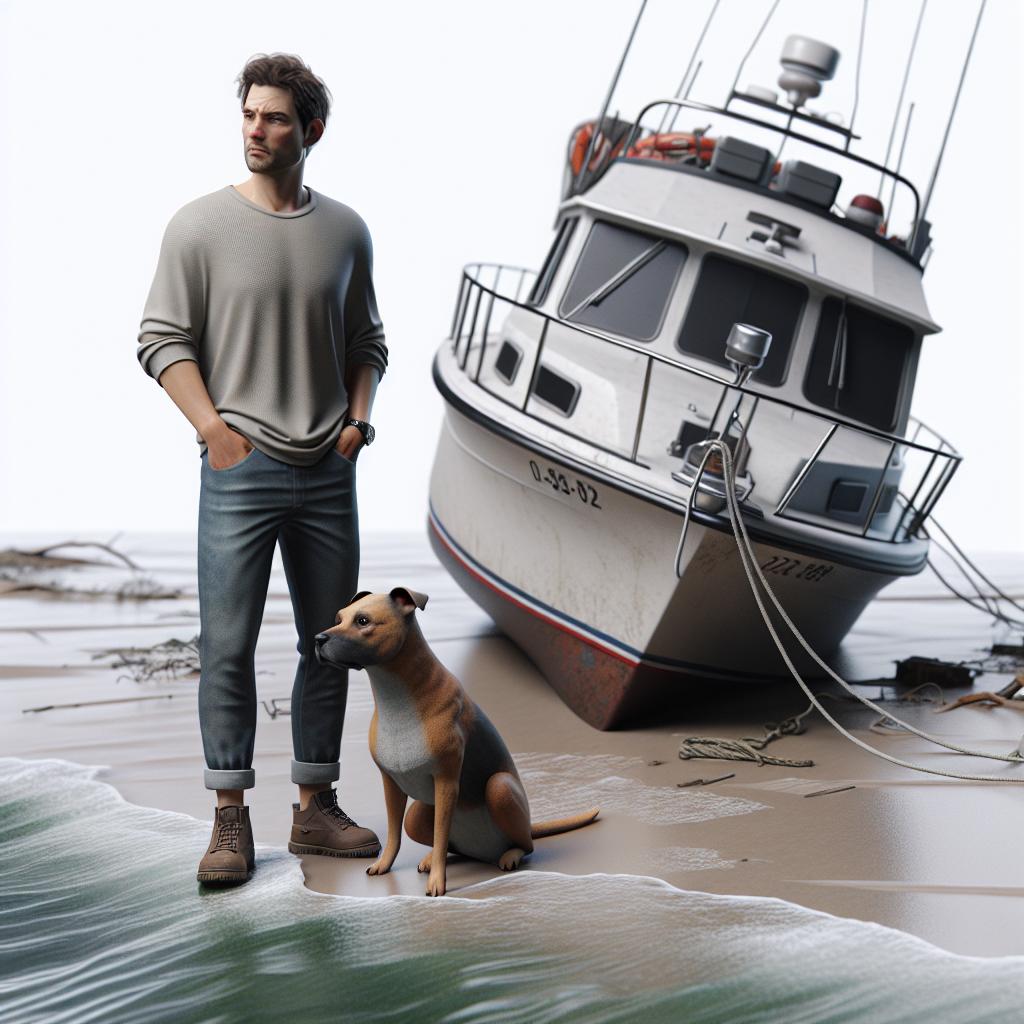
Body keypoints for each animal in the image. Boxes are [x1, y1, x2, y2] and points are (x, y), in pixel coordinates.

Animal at [311, 593, 598, 897]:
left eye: (363, 620)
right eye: (338, 618)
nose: (318, 638)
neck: (397, 699)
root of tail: (486, 852)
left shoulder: (447, 782)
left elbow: (440, 833)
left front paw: (438, 882)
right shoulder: (391, 783)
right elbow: (395, 833)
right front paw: (385, 864)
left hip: (500, 787)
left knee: (524, 844)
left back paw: (510, 855)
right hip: (417, 814)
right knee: (450, 845)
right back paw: (433, 858)